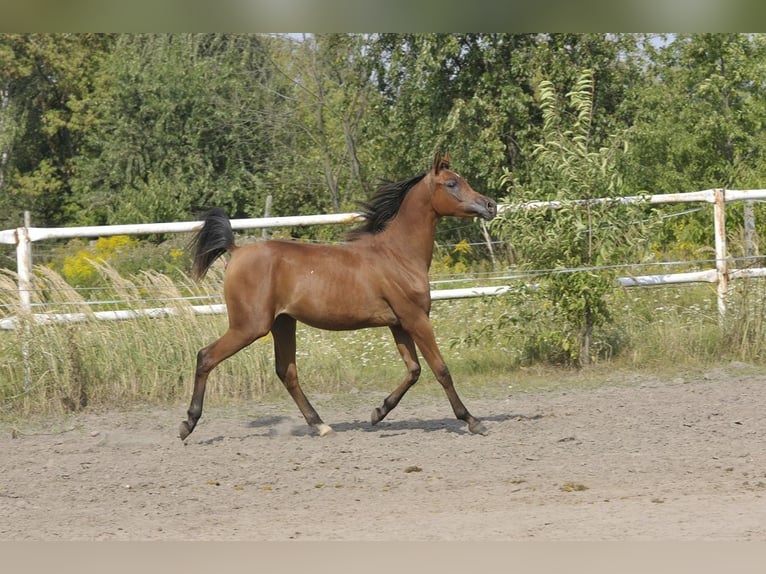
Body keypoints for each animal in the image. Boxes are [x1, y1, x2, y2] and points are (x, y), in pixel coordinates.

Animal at [179, 152, 497, 440]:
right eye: (452, 183)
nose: (491, 205)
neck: (398, 254)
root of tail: (236, 251)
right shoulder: (415, 318)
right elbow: (440, 369)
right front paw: (473, 421)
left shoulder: (398, 323)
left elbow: (414, 370)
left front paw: (378, 413)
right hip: (250, 326)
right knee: (206, 356)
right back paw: (187, 424)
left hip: (283, 323)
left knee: (287, 372)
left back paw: (320, 425)